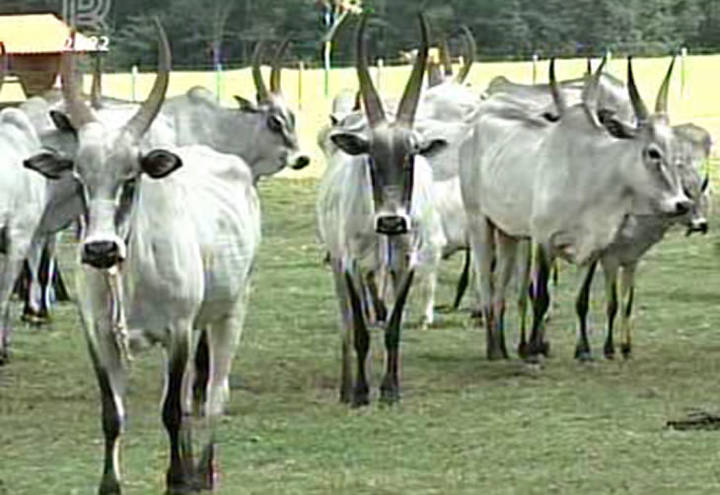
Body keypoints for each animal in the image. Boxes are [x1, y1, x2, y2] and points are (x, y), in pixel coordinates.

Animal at [22, 18, 262, 492]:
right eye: (78, 178)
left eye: (131, 179)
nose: (99, 249)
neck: (130, 276)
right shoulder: (99, 335)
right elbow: (113, 414)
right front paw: (110, 484)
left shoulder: (179, 331)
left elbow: (171, 412)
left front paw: (178, 478)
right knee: (192, 395)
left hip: (232, 309)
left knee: (214, 396)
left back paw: (203, 470)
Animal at [318, 13, 448, 404]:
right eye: (371, 158)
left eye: (411, 156)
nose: (391, 222)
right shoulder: (350, 263)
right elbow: (360, 332)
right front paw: (361, 392)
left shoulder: (407, 261)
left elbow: (393, 327)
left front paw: (390, 389)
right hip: (342, 267)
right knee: (347, 324)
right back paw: (346, 386)